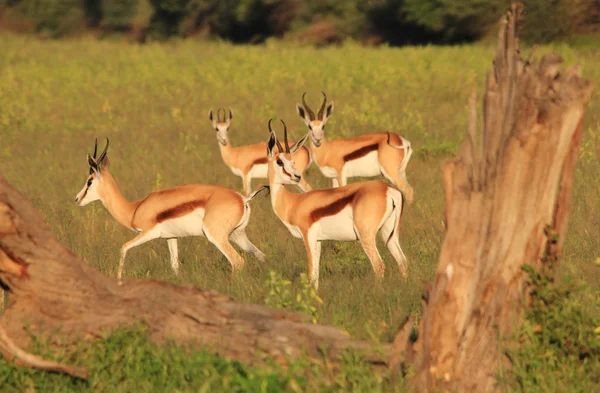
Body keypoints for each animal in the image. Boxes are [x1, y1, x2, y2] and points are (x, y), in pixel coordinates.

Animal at [74, 138, 264, 282]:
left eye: (89, 181)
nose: (77, 199)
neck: (134, 209)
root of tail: (242, 199)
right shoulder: (171, 238)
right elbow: (175, 266)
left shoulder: (148, 232)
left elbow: (123, 248)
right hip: (238, 235)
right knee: (261, 256)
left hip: (216, 236)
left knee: (237, 262)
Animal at [264, 119, 408, 288]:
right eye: (280, 161)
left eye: (292, 161)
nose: (297, 176)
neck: (294, 203)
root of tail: (387, 189)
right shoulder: (318, 241)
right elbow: (316, 275)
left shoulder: (308, 237)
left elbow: (310, 273)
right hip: (389, 233)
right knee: (402, 260)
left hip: (366, 235)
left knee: (379, 265)